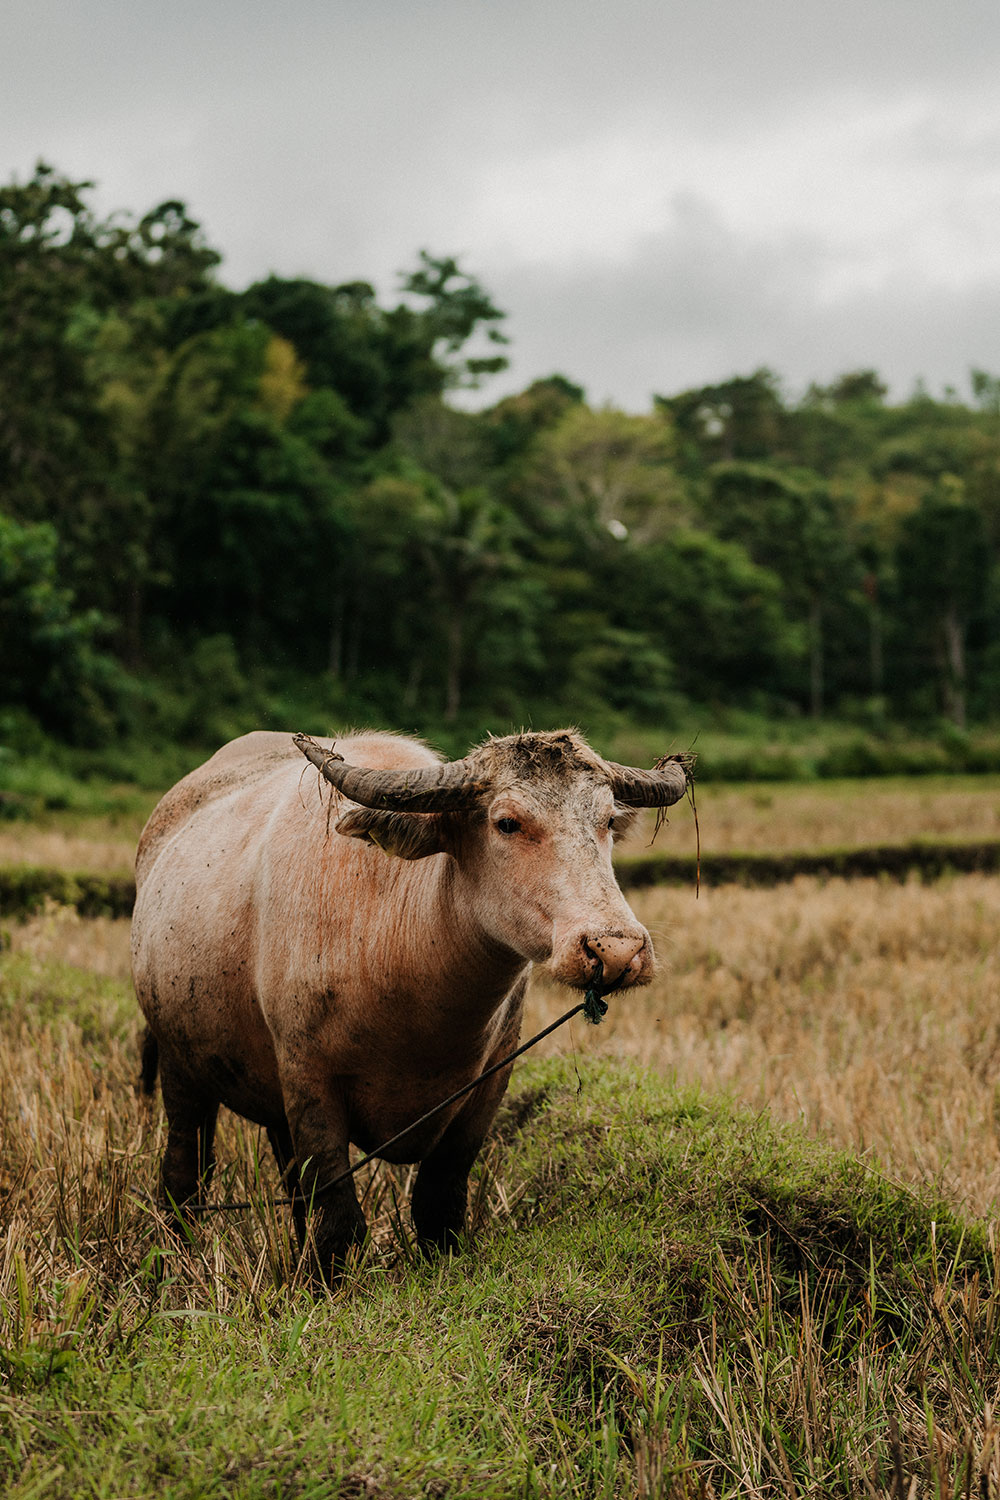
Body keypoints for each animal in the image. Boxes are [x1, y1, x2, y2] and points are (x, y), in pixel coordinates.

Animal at [131, 728, 688, 1279]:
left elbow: (438, 1207)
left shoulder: (486, 1088)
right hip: (180, 1065)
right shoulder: (307, 1081)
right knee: (185, 1175)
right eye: (507, 822)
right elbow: (339, 1223)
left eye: (608, 820)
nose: (616, 951)